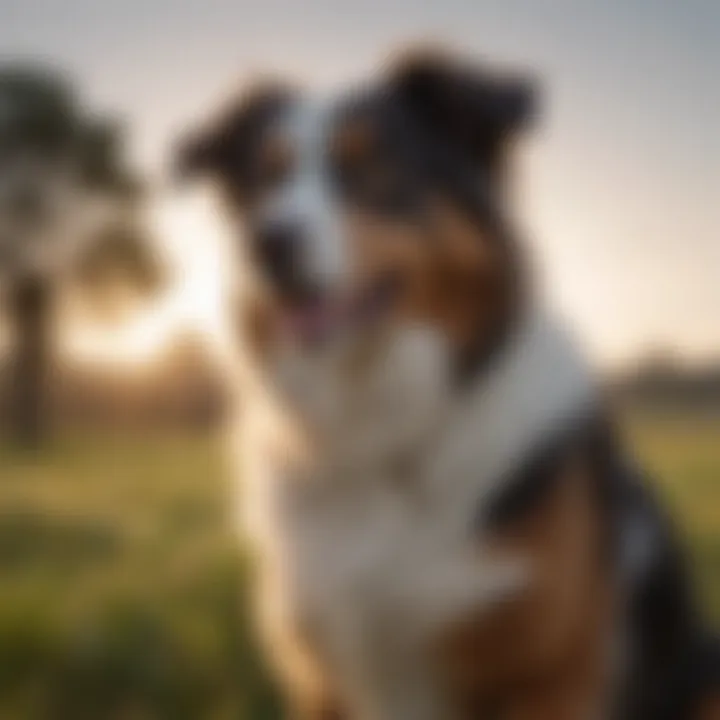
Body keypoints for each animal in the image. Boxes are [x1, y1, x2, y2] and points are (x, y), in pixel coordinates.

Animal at [176, 52, 720, 720]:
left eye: (374, 168)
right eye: (264, 183)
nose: (265, 242)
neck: (380, 426)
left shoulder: (549, 677)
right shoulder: (320, 680)